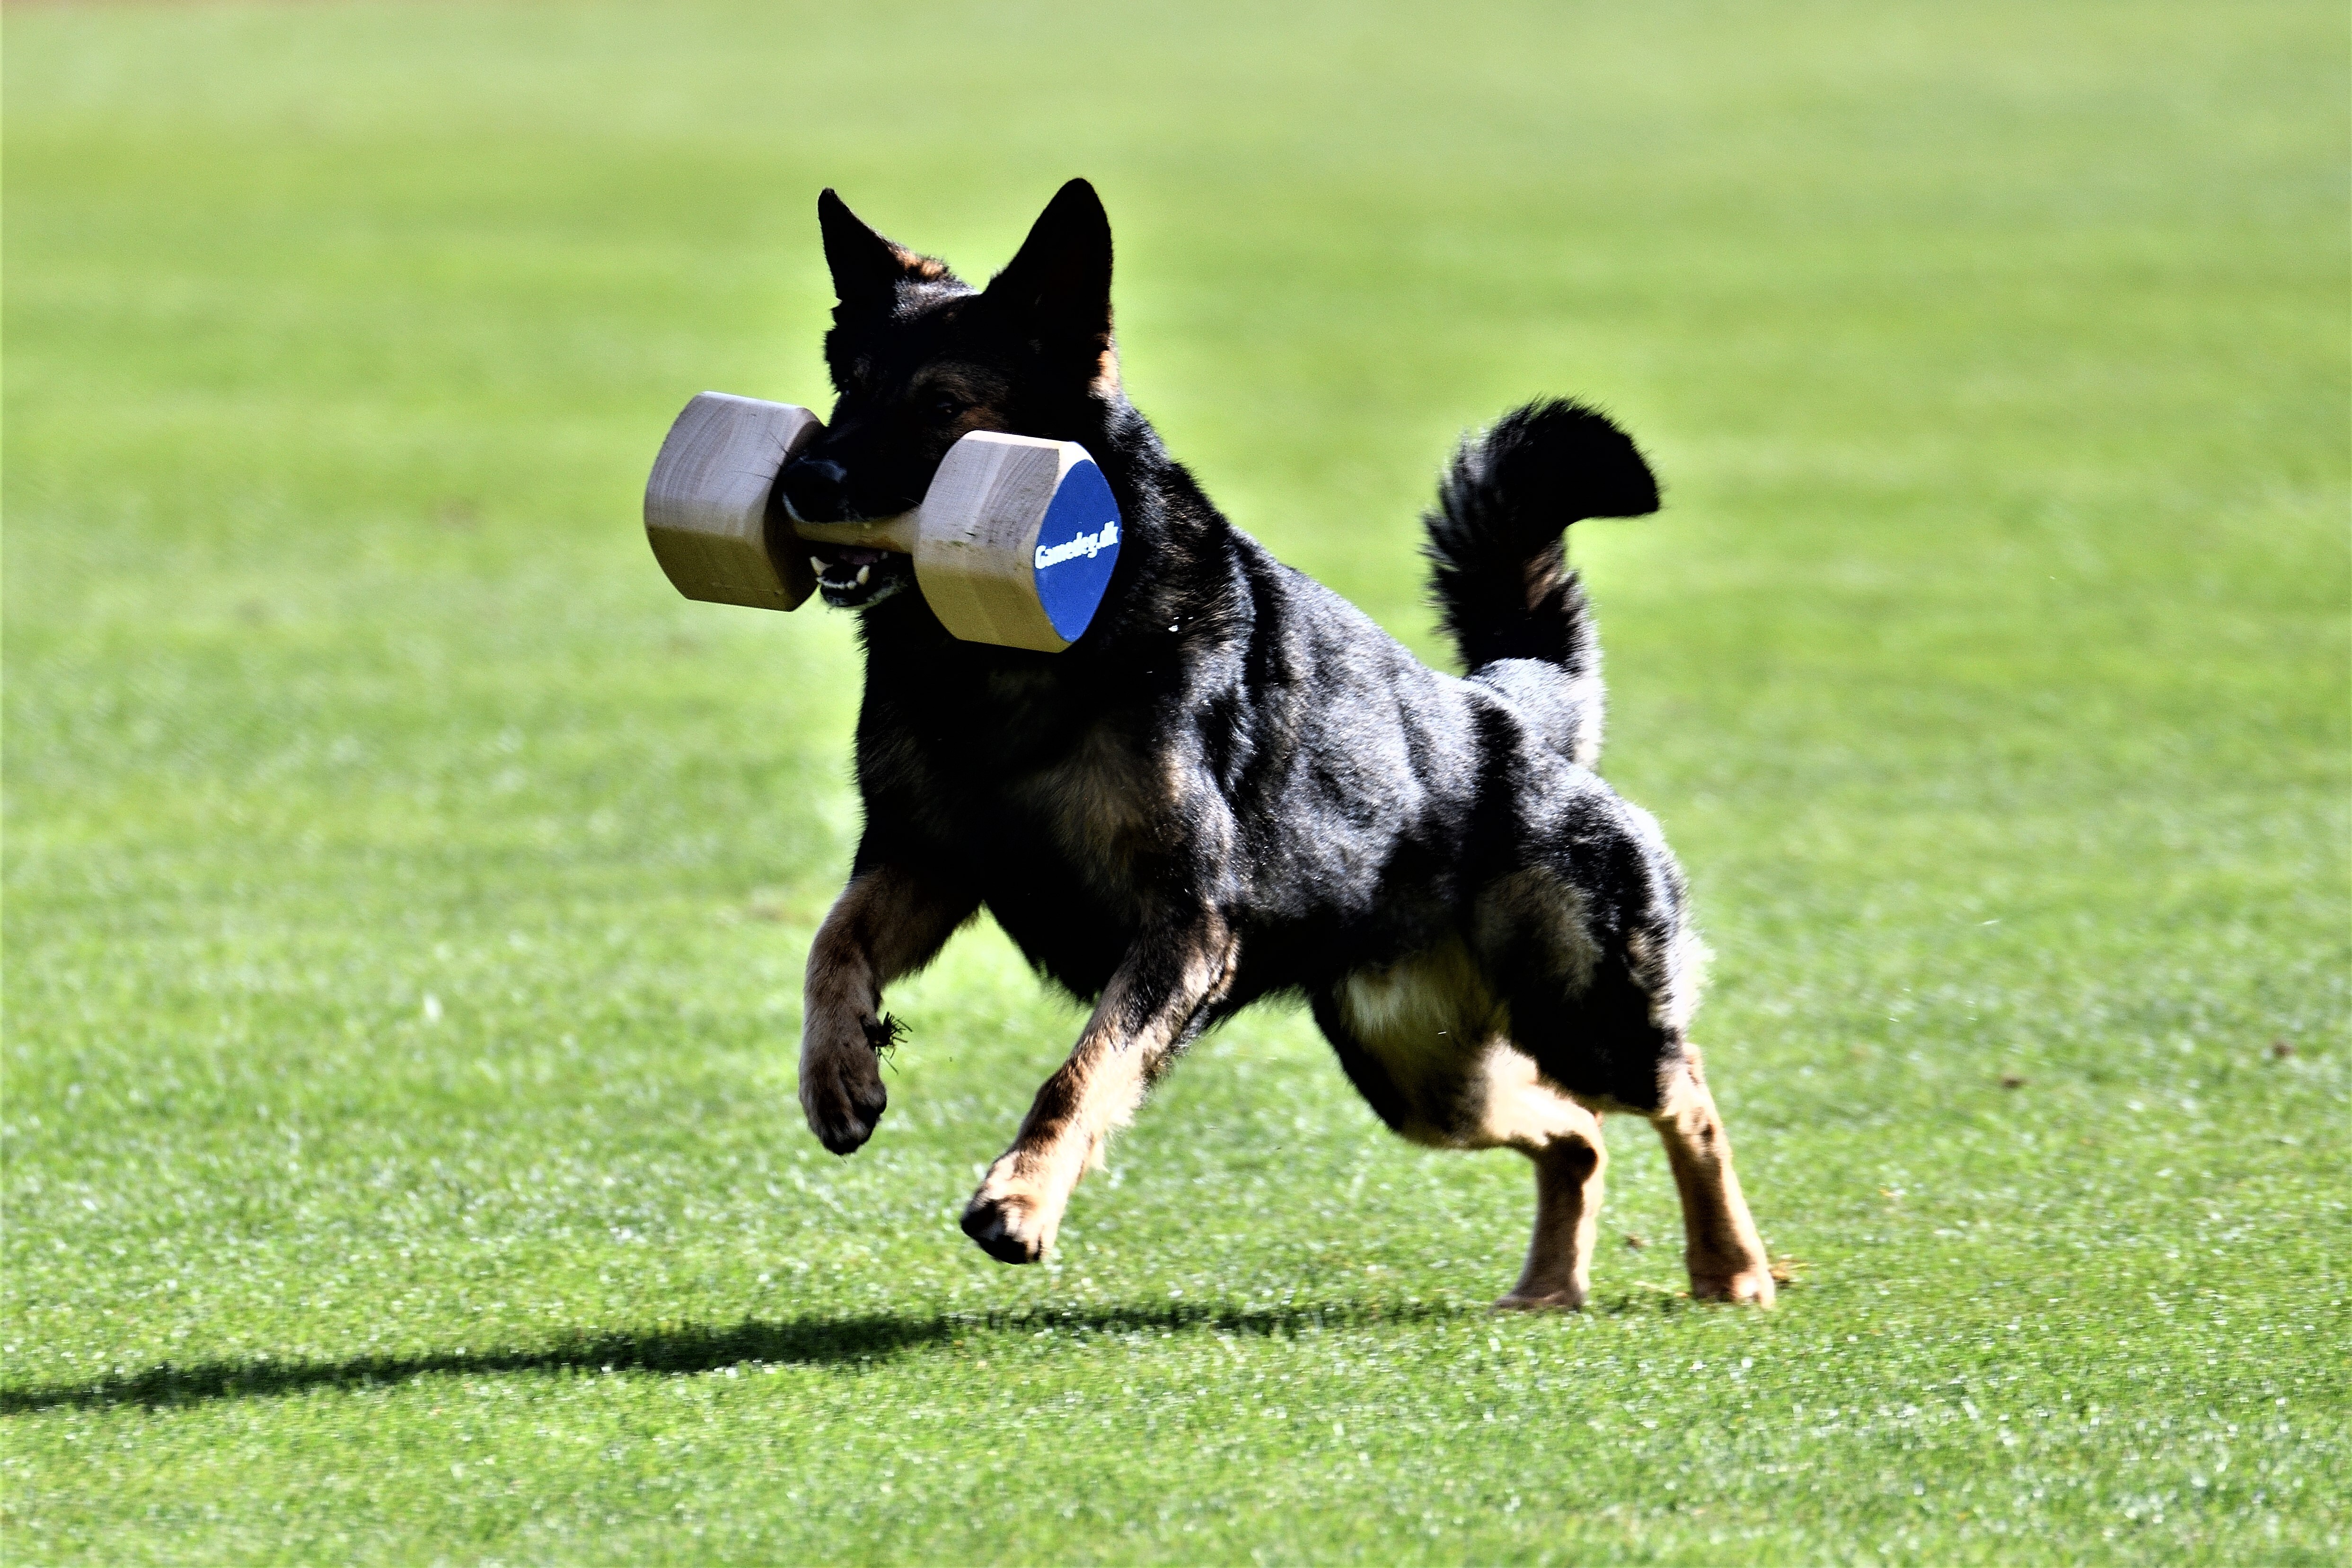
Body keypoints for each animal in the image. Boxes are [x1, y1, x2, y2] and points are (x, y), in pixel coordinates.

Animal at [781, 185, 1769, 1316]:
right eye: (846, 388)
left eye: (943, 405)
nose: (803, 480)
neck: (1012, 652)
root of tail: (1515, 711)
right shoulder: (925, 861)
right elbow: (831, 946)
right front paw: (838, 1072)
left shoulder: (1182, 924)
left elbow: (1080, 1071)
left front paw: (1021, 1198)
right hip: (1421, 1076)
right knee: (1574, 1132)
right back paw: (1549, 1286)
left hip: (1581, 1013)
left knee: (1680, 1092)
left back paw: (1730, 1265)